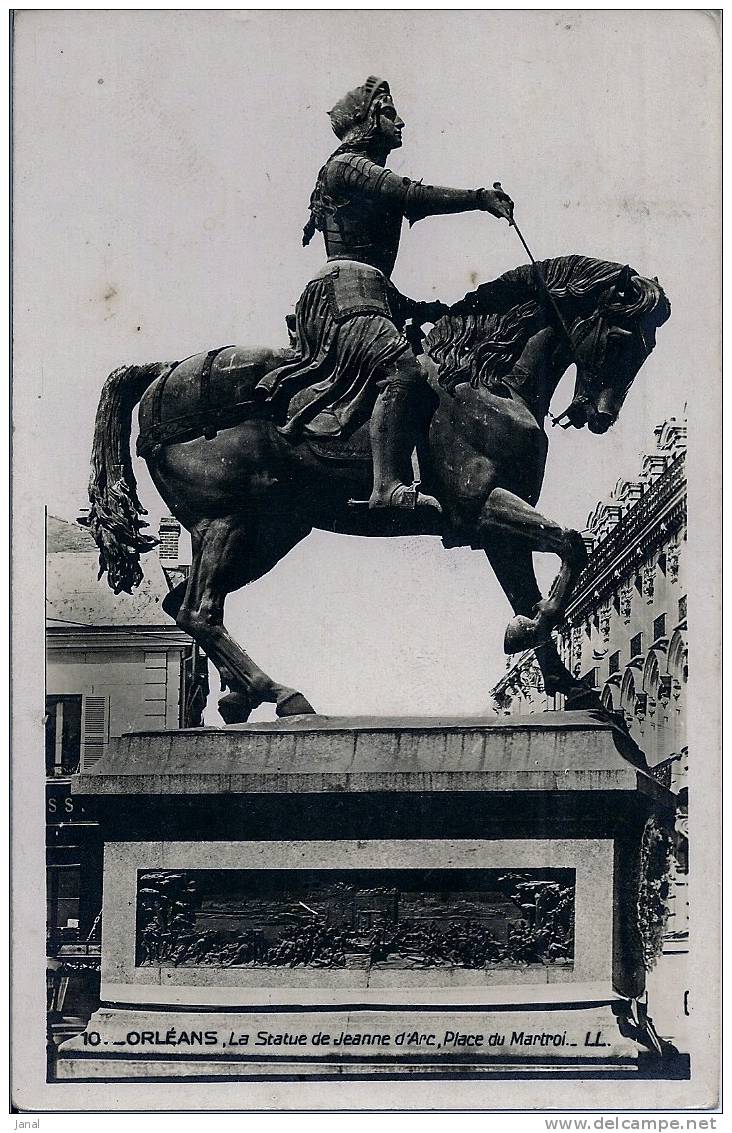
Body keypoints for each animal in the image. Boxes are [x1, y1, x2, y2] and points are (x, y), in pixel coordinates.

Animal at [83, 252, 675, 720]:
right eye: (622, 338)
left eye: (648, 346)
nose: (598, 417)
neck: (486, 381)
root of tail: (164, 374)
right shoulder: (482, 505)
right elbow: (572, 546)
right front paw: (523, 633)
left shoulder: (496, 529)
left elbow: (531, 590)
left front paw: (567, 684)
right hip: (226, 523)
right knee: (199, 610)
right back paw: (281, 694)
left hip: (268, 533)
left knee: (186, 604)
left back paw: (242, 694)